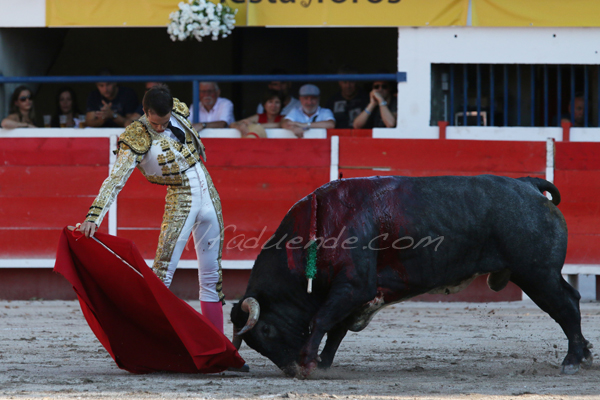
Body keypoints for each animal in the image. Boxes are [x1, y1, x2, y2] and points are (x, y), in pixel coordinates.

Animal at [232, 175, 592, 378]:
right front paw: (321, 362)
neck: (320, 227)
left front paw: (309, 362)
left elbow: (322, 320)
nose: (290, 369)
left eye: (266, 329)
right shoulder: (355, 293)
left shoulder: (353, 286)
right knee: (570, 301)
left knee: (565, 306)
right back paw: (586, 355)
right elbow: (336, 328)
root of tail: (528, 185)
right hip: (538, 274)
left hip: (537, 273)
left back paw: (572, 360)